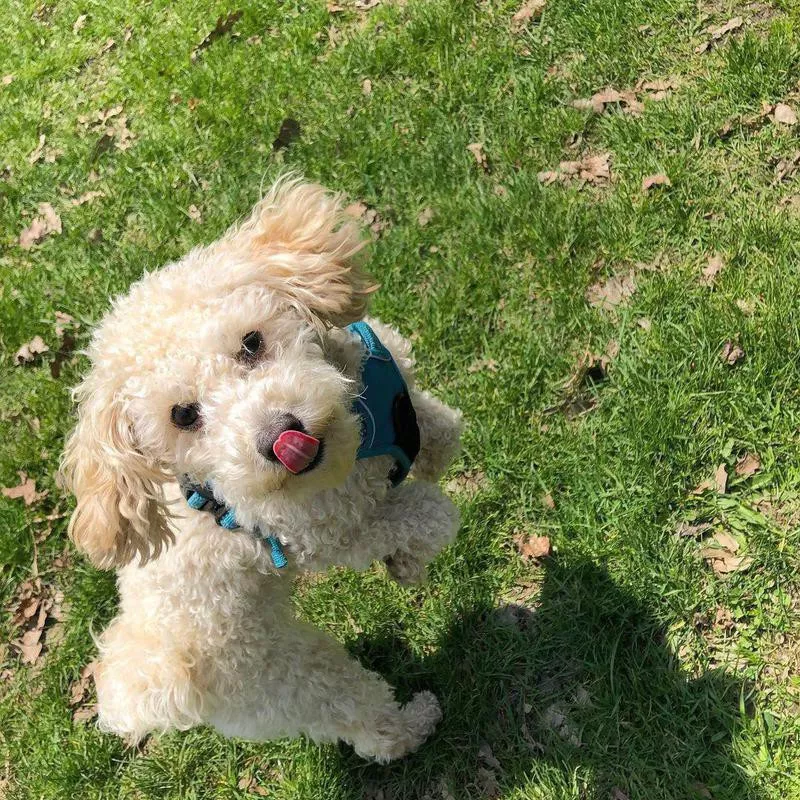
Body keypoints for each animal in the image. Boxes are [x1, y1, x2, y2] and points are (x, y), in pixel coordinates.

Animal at [61, 180, 462, 764]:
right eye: (184, 415)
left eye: (251, 342)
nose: (280, 438)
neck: (357, 438)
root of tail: (161, 684)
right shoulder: (331, 535)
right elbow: (428, 512)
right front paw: (410, 555)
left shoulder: (398, 388)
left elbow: (441, 433)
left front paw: (408, 548)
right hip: (286, 679)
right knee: (362, 718)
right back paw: (415, 722)